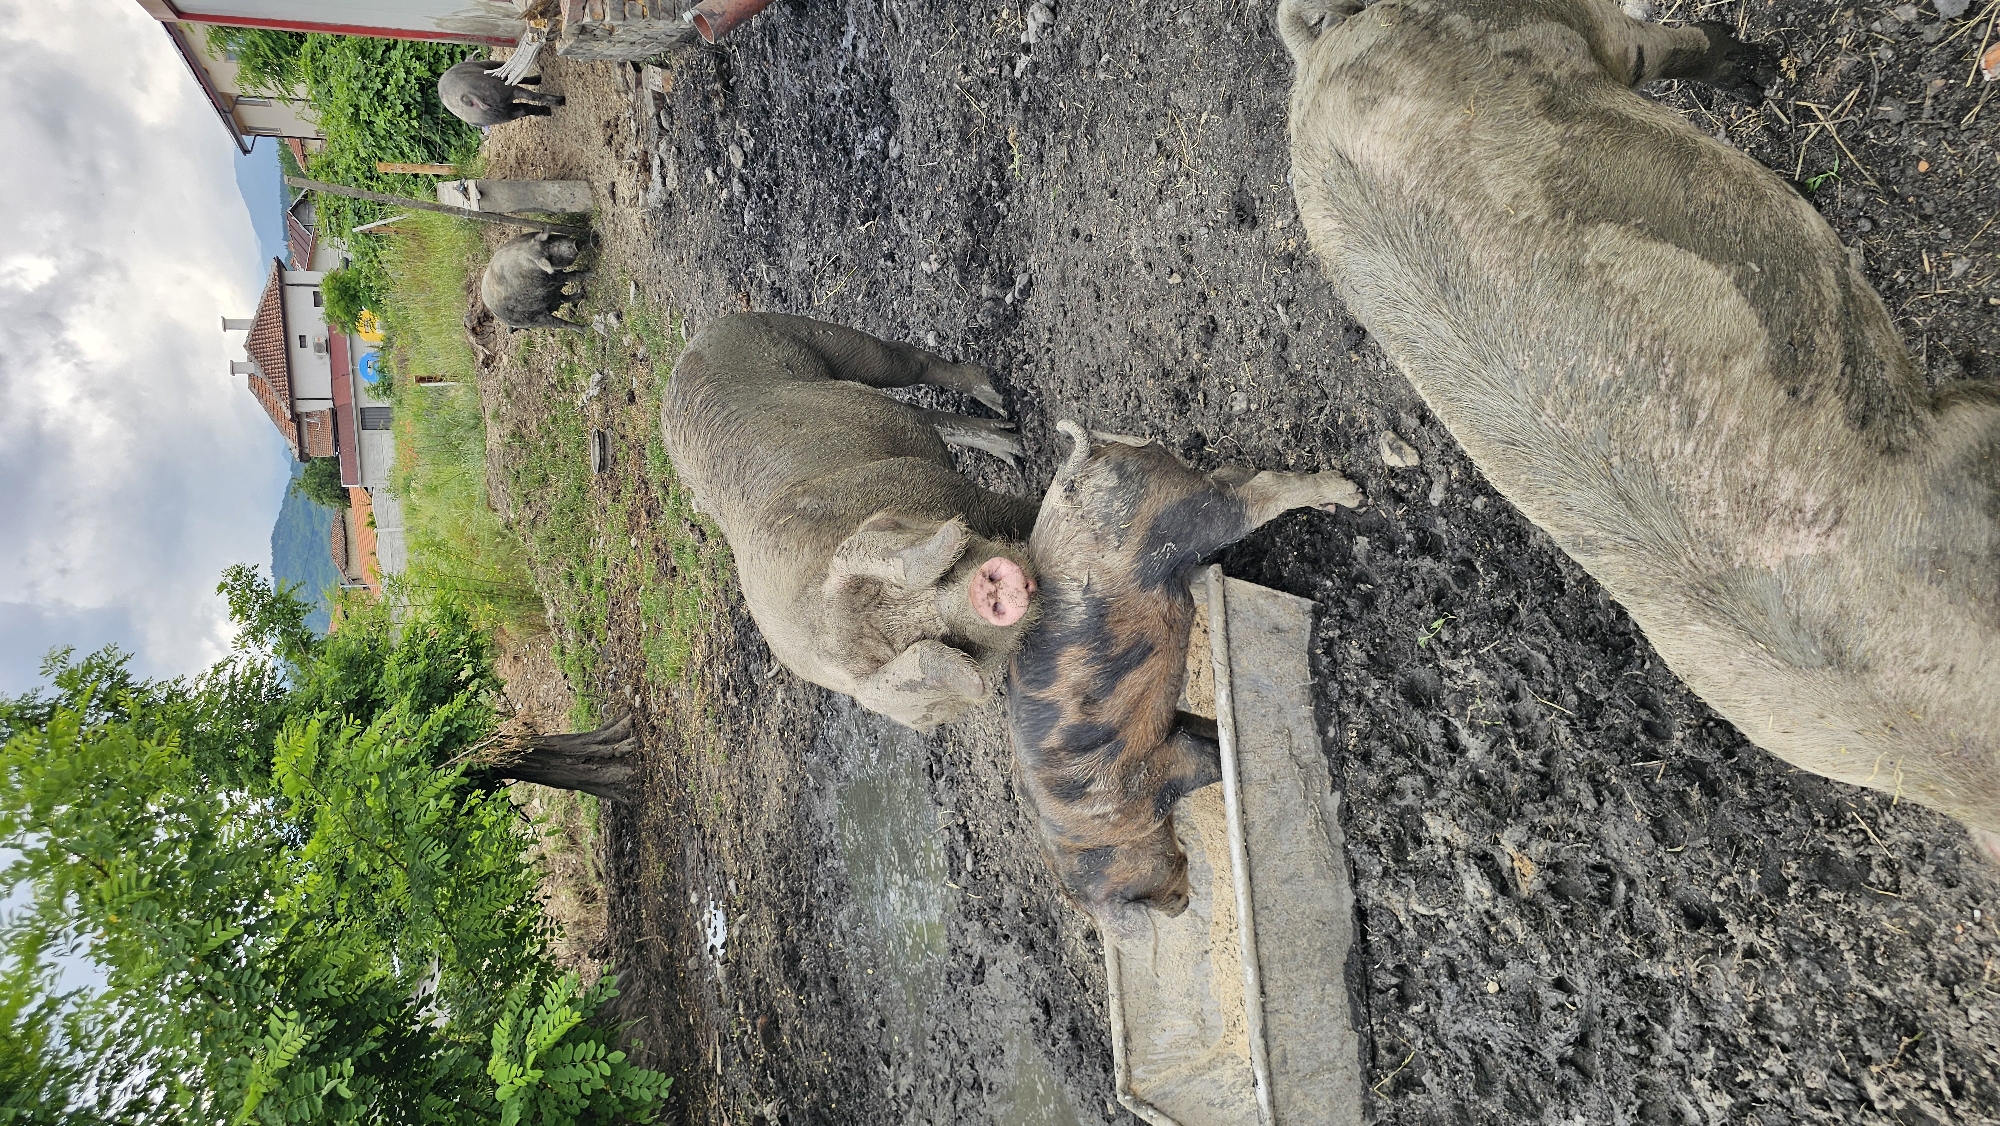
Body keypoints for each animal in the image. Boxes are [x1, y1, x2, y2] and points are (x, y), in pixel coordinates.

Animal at [662, 313, 1041, 729]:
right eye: (945, 640)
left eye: (944, 573)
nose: (982, 591)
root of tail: (688, 351)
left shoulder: (941, 487)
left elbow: (1014, 512)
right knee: (928, 414)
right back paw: (1011, 444)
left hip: (800, 333)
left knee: (909, 360)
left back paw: (1000, 406)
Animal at [1008, 421, 1362, 930]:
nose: (1182, 905)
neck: (1097, 832)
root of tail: (1077, 467)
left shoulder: (1154, 772)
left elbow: (1205, 760)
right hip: (1177, 492)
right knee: (1232, 476)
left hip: (1179, 519)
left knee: (1252, 495)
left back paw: (1349, 494)